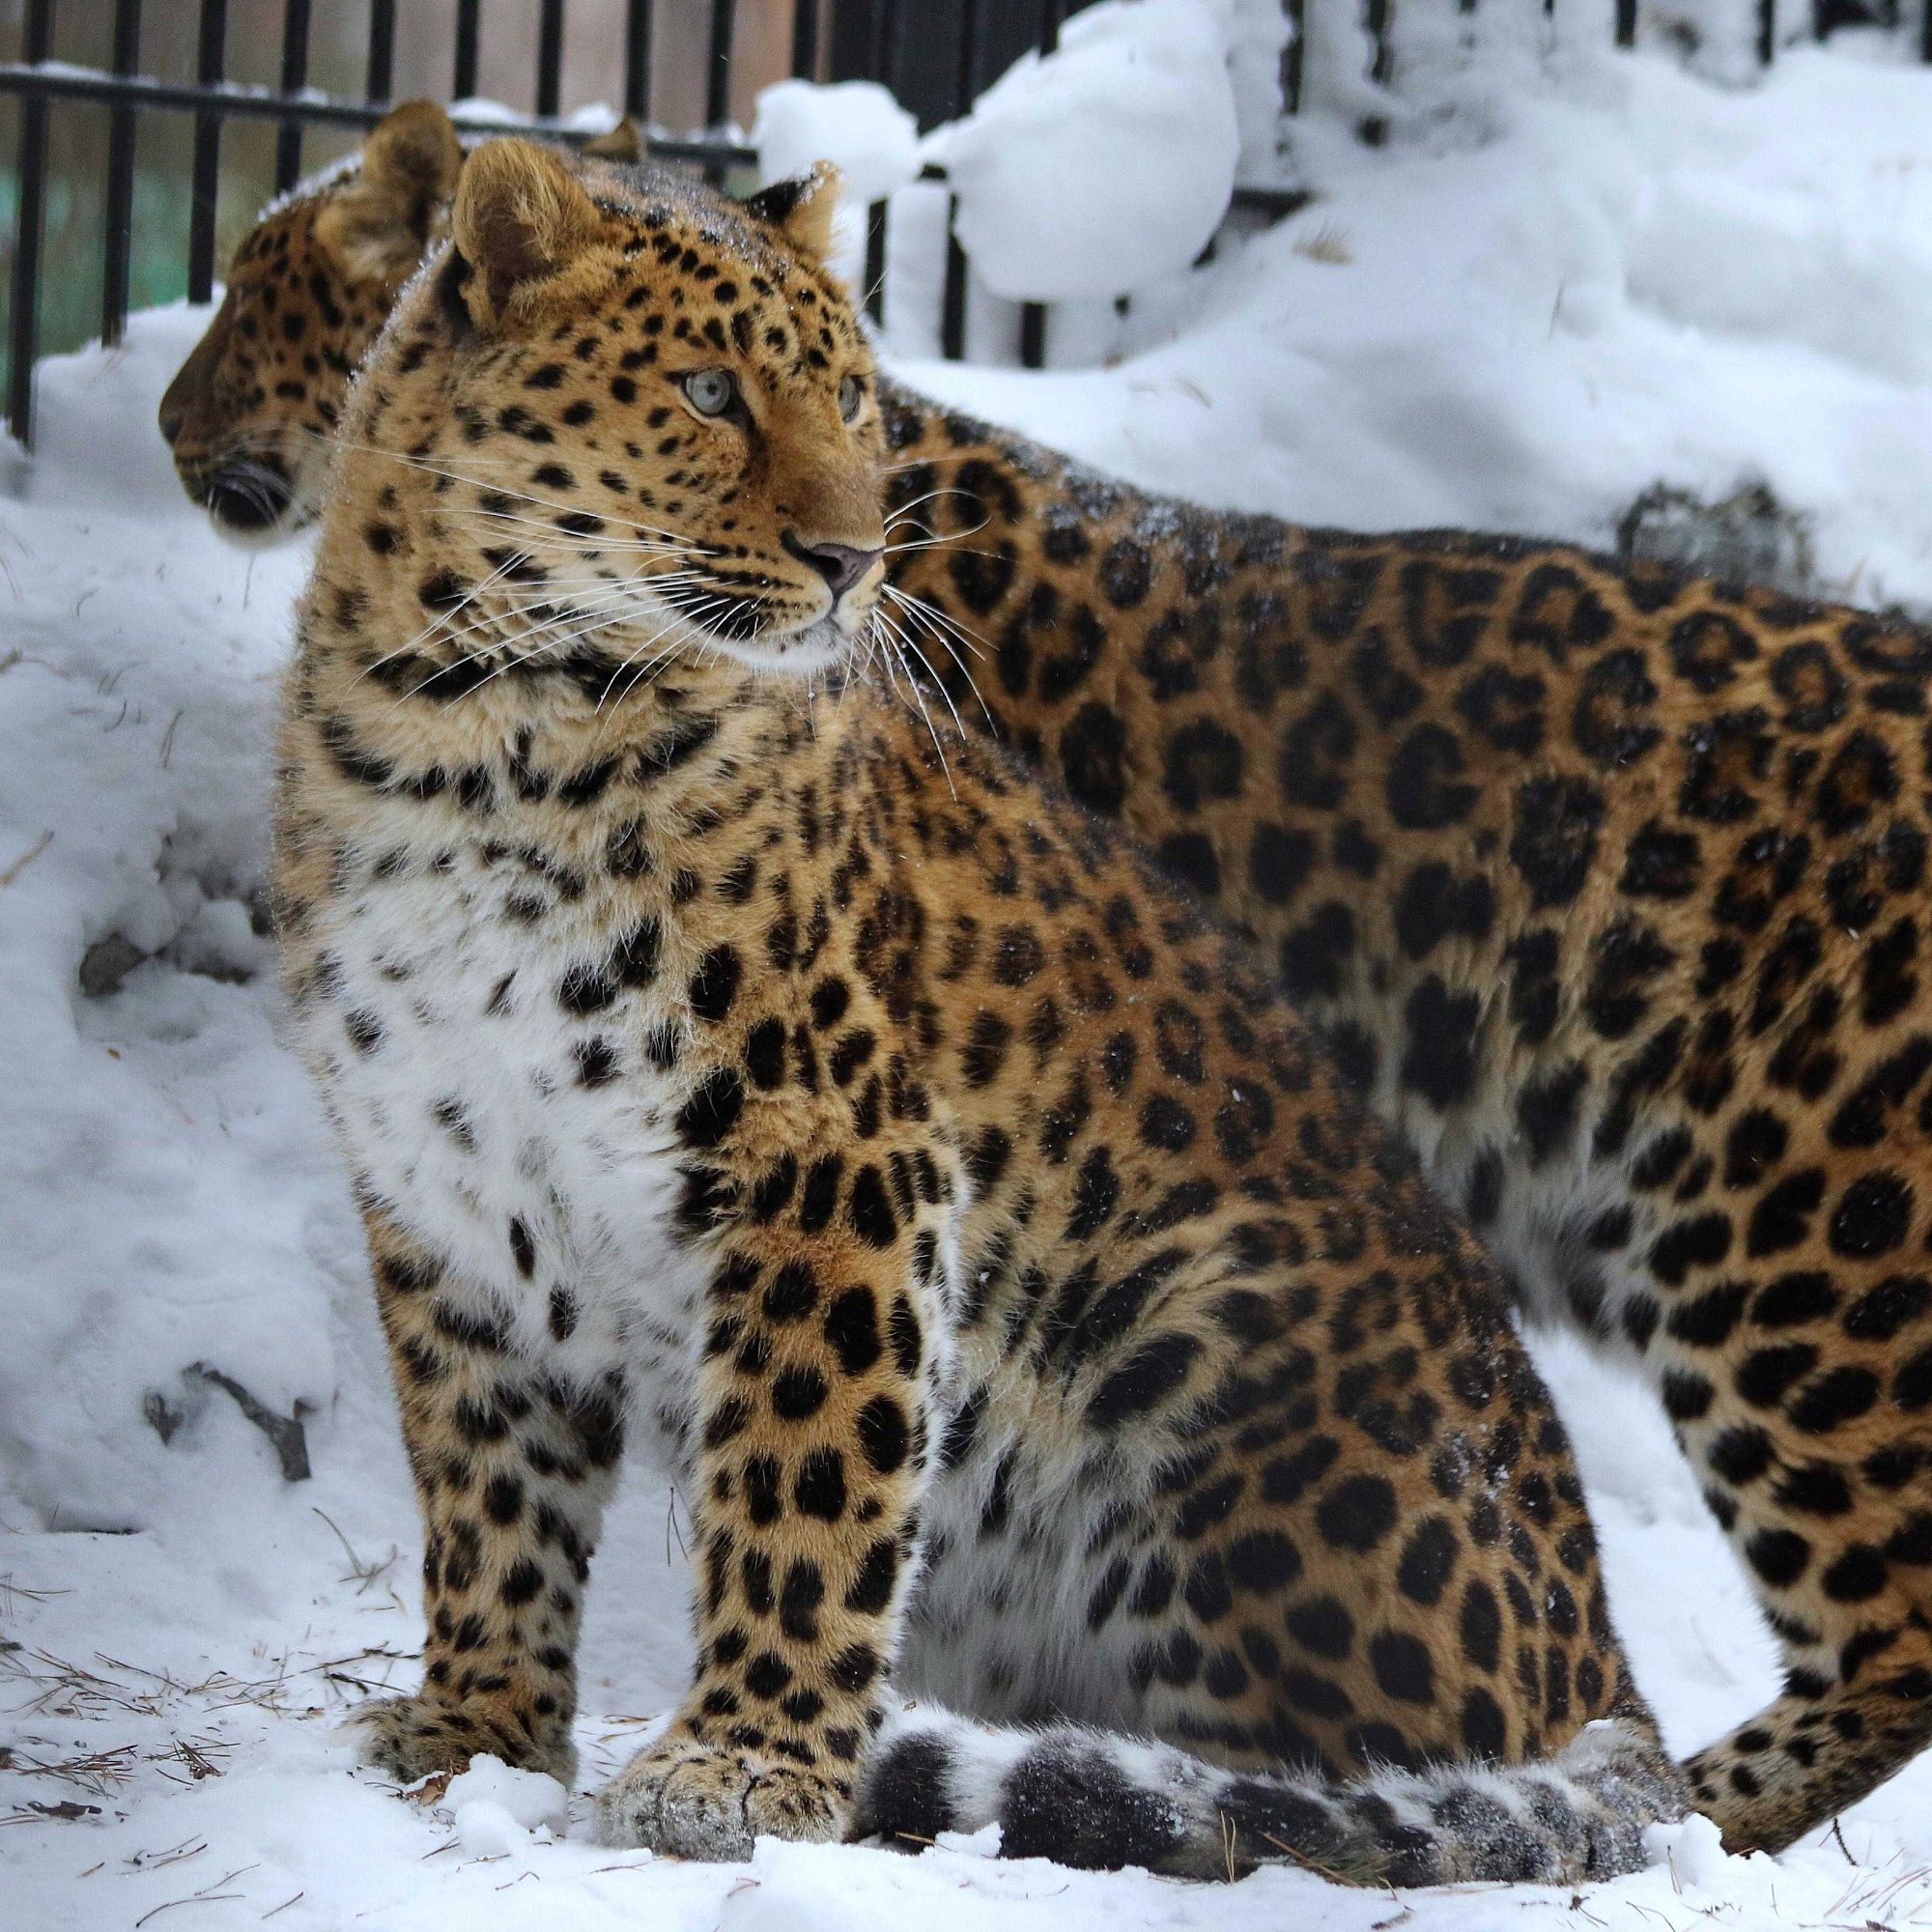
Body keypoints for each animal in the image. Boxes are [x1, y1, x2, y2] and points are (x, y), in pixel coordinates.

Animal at [166, 105, 1932, 1855]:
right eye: (708, 395)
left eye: (850, 402)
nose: (851, 559)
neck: (467, 725)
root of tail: (1608, 1675)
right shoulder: (446, 1187)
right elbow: (487, 1495)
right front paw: (474, 1735)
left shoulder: (839, 1163)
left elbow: (803, 1482)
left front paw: (741, 1769)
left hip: (1676, 1271)